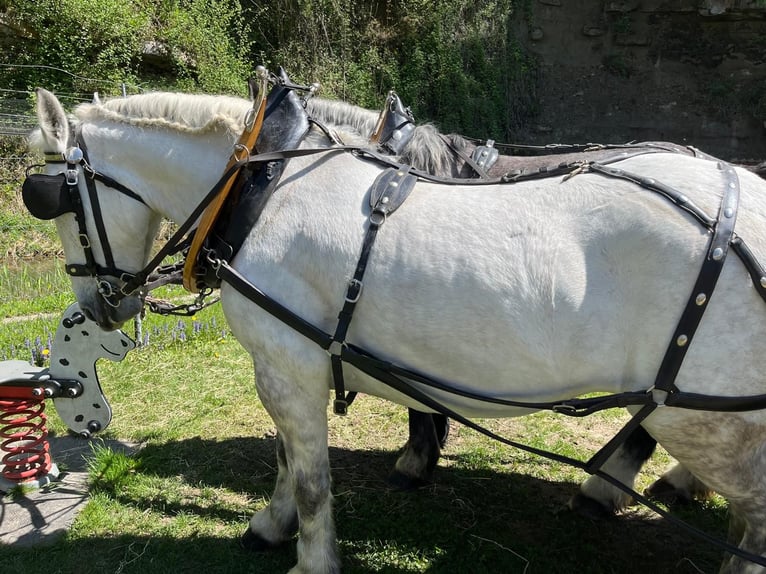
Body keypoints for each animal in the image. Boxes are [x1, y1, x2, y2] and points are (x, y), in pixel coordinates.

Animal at [25, 73, 766, 573]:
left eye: (53, 200)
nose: (100, 304)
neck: (261, 188)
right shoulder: (284, 364)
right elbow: (286, 458)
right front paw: (271, 524)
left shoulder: (287, 366)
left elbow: (310, 475)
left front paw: (312, 557)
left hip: (700, 414)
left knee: (751, 512)